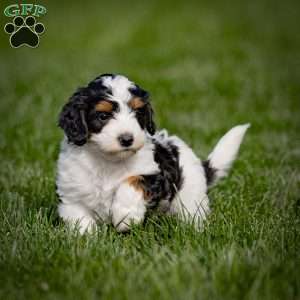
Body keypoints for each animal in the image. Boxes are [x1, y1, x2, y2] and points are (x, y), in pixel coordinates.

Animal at [55, 72, 248, 232]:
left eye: (138, 112)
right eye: (103, 116)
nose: (127, 139)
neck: (108, 161)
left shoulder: (155, 174)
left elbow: (131, 181)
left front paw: (126, 217)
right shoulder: (71, 193)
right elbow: (79, 218)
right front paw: (86, 240)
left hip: (190, 194)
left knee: (192, 212)